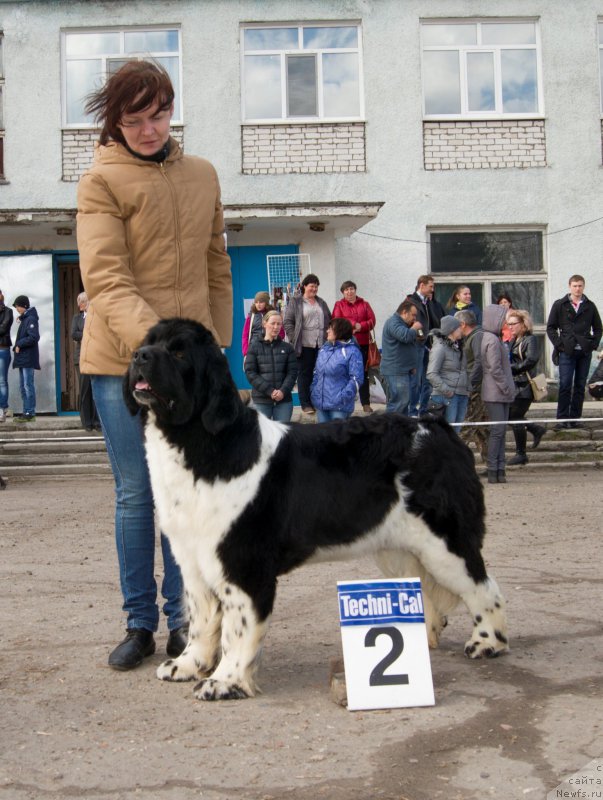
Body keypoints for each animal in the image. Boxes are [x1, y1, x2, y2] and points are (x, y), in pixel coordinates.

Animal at [125, 318, 508, 700]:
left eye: (178, 352)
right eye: (149, 342)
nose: (139, 355)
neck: (199, 443)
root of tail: (436, 427)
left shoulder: (243, 564)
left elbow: (238, 627)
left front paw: (225, 681)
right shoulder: (192, 559)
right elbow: (201, 620)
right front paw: (188, 665)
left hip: (444, 542)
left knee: (483, 587)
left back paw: (487, 642)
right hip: (401, 548)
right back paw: (425, 638)